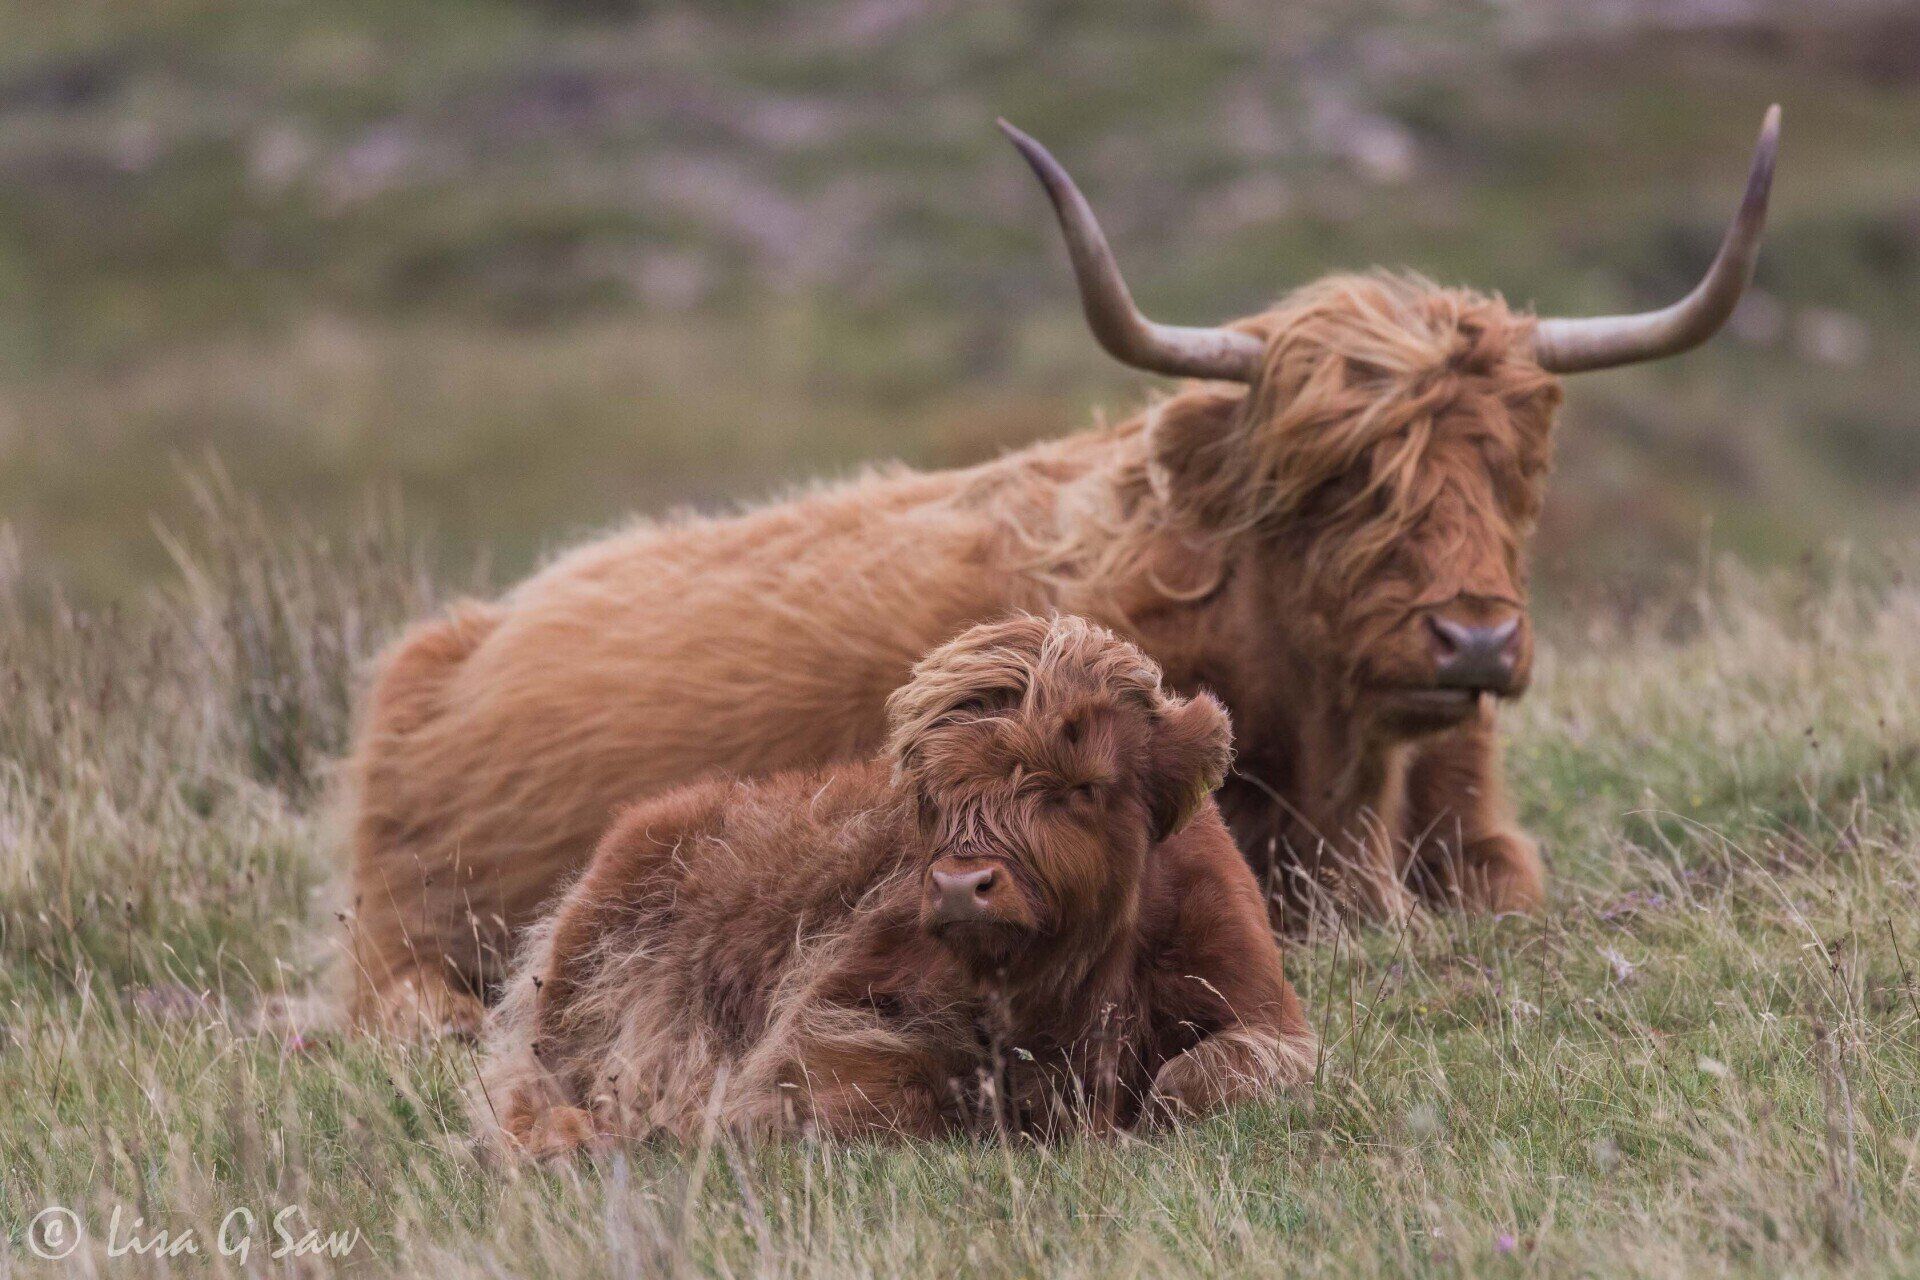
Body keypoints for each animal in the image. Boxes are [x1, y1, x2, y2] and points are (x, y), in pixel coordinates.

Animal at [477, 614, 1314, 1151]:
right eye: (930, 795)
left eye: (1081, 787)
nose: (961, 886)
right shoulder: (830, 1015)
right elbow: (893, 1089)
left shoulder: (1268, 1014)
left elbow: (1193, 1080)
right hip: (569, 1006)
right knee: (525, 1092)